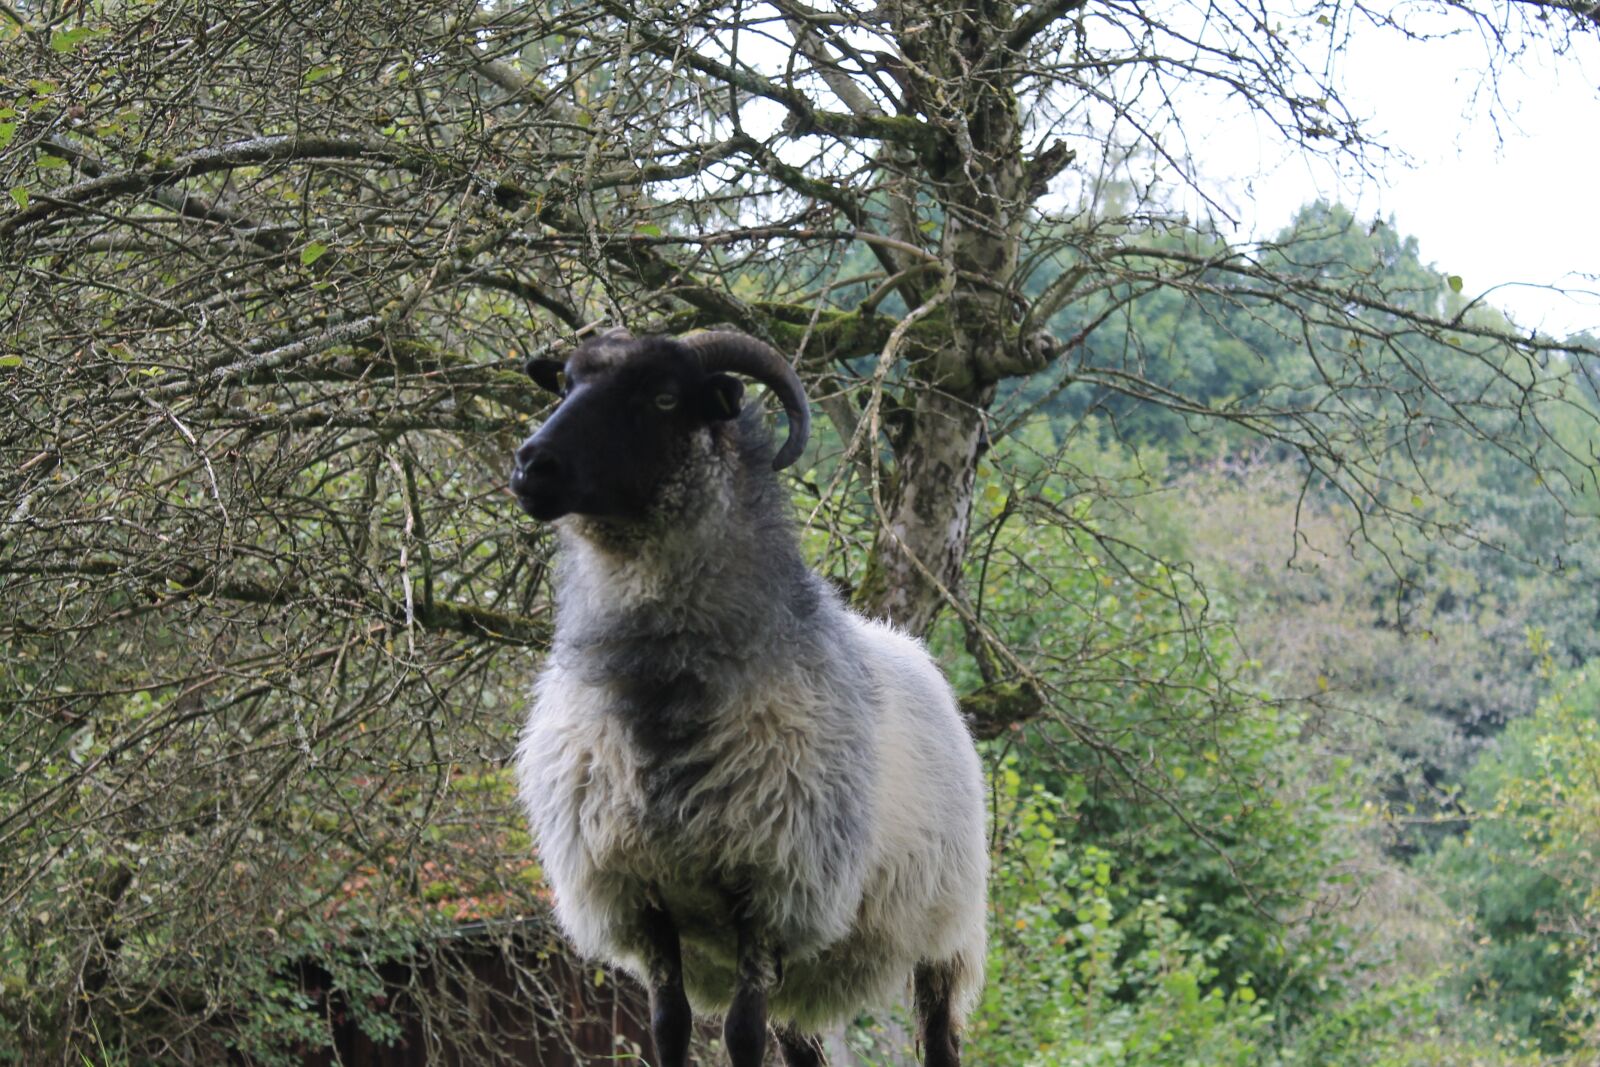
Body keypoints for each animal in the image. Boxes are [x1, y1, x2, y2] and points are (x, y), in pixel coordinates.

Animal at [510, 328, 987, 1067]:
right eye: (564, 383)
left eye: (664, 396)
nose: (532, 464)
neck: (659, 695)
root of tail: (916, 653)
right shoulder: (641, 894)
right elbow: (668, 1025)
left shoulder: (769, 890)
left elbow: (741, 1031)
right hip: (810, 977)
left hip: (947, 933)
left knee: (940, 1037)